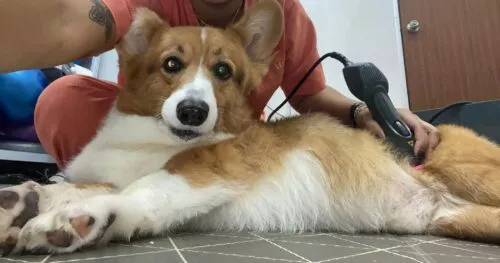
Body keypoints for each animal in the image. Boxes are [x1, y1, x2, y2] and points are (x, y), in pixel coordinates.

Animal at [0, 0, 500, 256]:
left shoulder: (213, 167)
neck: (154, 139)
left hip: (472, 176)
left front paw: (72, 218)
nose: (193, 111)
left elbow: (142, 189)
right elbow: (78, 185)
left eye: (223, 71)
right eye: (171, 65)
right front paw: (24, 199)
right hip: (454, 217)